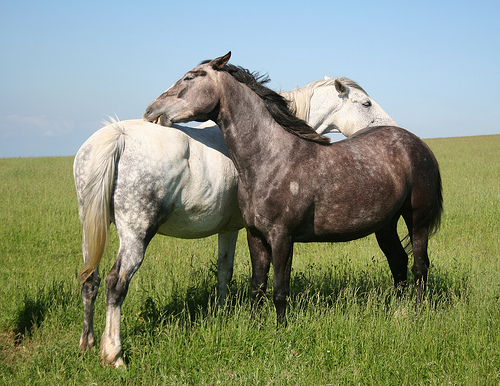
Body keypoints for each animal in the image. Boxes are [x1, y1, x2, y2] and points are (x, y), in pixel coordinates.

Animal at [74, 76, 394, 368]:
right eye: (365, 103)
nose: (392, 128)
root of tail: (117, 134)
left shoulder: (229, 230)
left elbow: (223, 272)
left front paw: (221, 314)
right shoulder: (242, 230)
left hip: (91, 229)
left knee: (90, 280)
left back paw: (87, 344)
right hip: (136, 234)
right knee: (116, 283)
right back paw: (113, 354)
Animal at [144, 51, 442, 322]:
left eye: (191, 76)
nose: (151, 112)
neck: (271, 158)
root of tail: (416, 143)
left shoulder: (282, 237)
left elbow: (279, 291)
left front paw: (280, 331)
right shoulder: (255, 236)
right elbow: (257, 287)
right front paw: (254, 327)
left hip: (417, 219)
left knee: (419, 266)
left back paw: (417, 314)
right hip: (385, 225)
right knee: (398, 262)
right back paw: (399, 311)